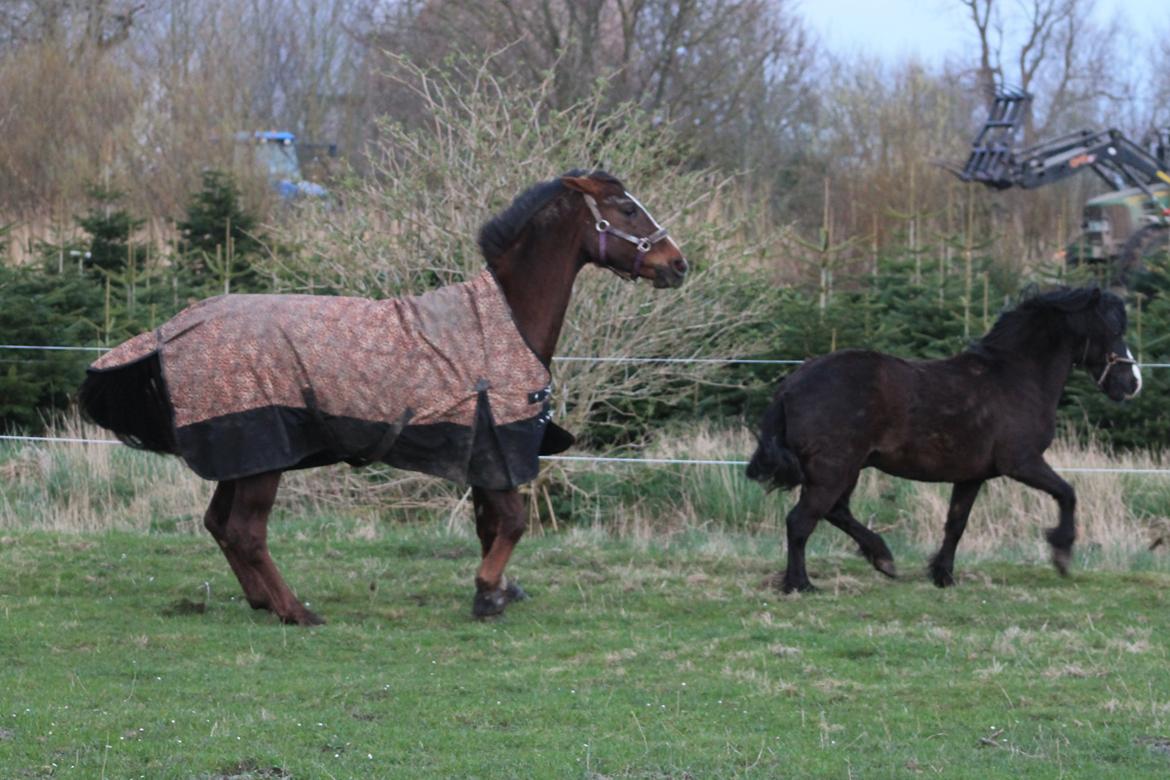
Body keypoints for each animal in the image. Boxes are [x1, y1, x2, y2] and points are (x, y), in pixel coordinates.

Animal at [79, 170, 688, 625]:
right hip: (260, 453)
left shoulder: (483, 450)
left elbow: (490, 523)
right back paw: (296, 611)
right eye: (626, 209)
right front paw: (488, 592)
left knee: (219, 525)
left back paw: (263, 601)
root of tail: (170, 332)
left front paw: (498, 589)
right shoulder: (500, 444)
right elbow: (513, 521)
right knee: (244, 531)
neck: (505, 320)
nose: (678, 264)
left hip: (244, 455)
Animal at [745, 287, 1141, 593]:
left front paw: (943, 576)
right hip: (834, 469)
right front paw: (1061, 554)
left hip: (845, 469)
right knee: (802, 521)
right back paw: (801, 584)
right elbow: (1067, 493)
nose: (1132, 383)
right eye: (1111, 329)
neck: (1015, 377)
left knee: (834, 512)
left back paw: (882, 558)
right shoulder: (1022, 462)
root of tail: (791, 384)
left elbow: (956, 524)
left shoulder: (971, 476)